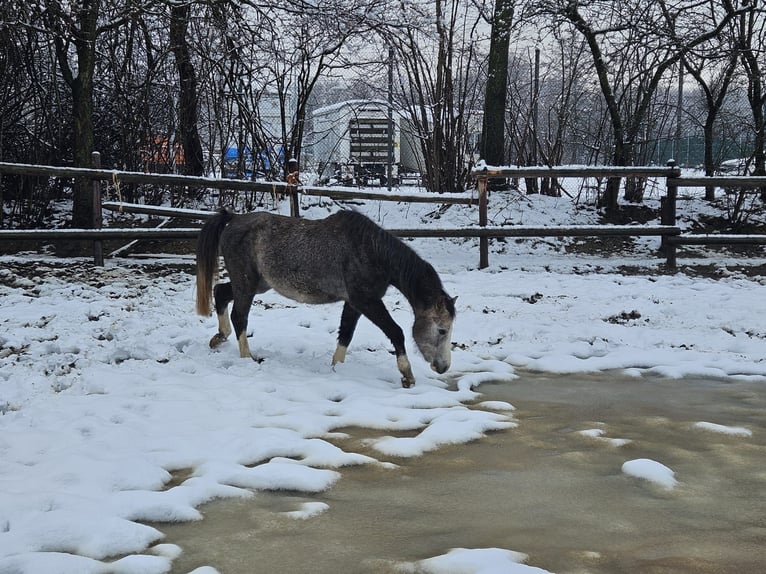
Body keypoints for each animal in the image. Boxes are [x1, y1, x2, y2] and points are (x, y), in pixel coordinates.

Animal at [196, 209, 456, 390]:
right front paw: (407, 375)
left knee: (220, 293)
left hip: (257, 284)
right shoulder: (367, 301)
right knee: (239, 316)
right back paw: (247, 358)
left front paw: (336, 368)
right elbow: (396, 332)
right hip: (247, 284)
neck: (371, 252)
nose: (443, 367)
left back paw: (219, 338)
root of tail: (234, 218)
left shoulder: (354, 304)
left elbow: (346, 334)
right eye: (442, 330)